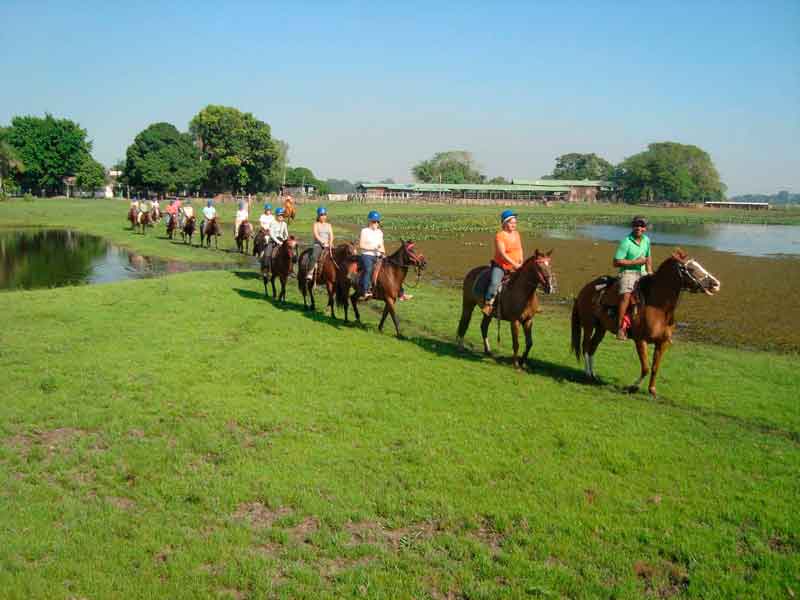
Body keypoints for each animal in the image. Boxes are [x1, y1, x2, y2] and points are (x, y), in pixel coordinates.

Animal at [572, 248, 720, 398]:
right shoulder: (640, 340)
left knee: (592, 347)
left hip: (601, 328)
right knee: (586, 346)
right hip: (589, 325)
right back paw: (588, 374)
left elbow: (655, 367)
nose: (716, 284)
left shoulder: (662, 343)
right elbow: (646, 368)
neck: (658, 308)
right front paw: (633, 387)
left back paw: (593, 374)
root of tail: (585, 289)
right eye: (690, 268)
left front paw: (652, 390)